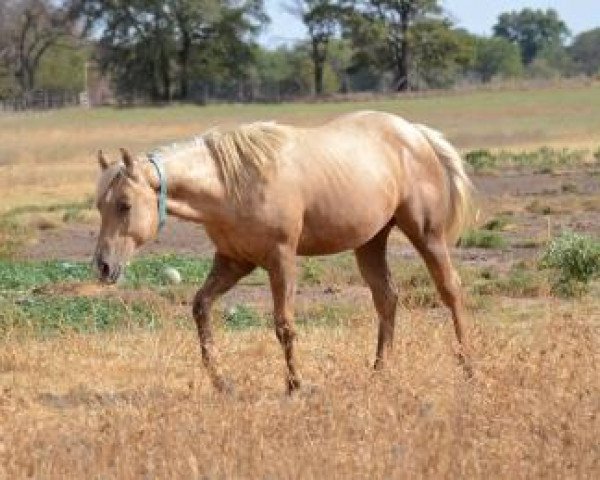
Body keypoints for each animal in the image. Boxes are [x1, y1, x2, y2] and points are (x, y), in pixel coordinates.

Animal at [95, 110, 474, 392]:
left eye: (125, 205)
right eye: (100, 205)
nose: (102, 266)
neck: (232, 185)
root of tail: (414, 132)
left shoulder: (281, 260)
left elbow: (284, 326)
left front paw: (295, 385)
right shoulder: (234, 262)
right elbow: (201, 307)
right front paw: (221, 383)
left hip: (427, 235)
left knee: (450, 290)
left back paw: (468, 367)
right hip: (370, 242)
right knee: (387, 299)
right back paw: (379, 372)